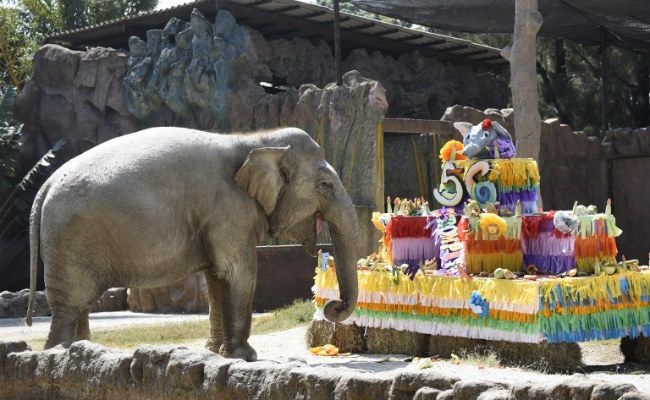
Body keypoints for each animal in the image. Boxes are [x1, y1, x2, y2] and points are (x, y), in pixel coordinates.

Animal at [25, 126, 356, 360]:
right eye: (325, 185)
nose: (333, 306)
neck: (255, 139)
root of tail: (46, 185)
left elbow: (216, 276)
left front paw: (214, 352)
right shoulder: (228, 208)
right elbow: (237, 271)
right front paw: (246, 357)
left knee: (79, 304)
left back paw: (84, 349)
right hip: (70, 242)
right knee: (70, 303)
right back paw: (60, 352)